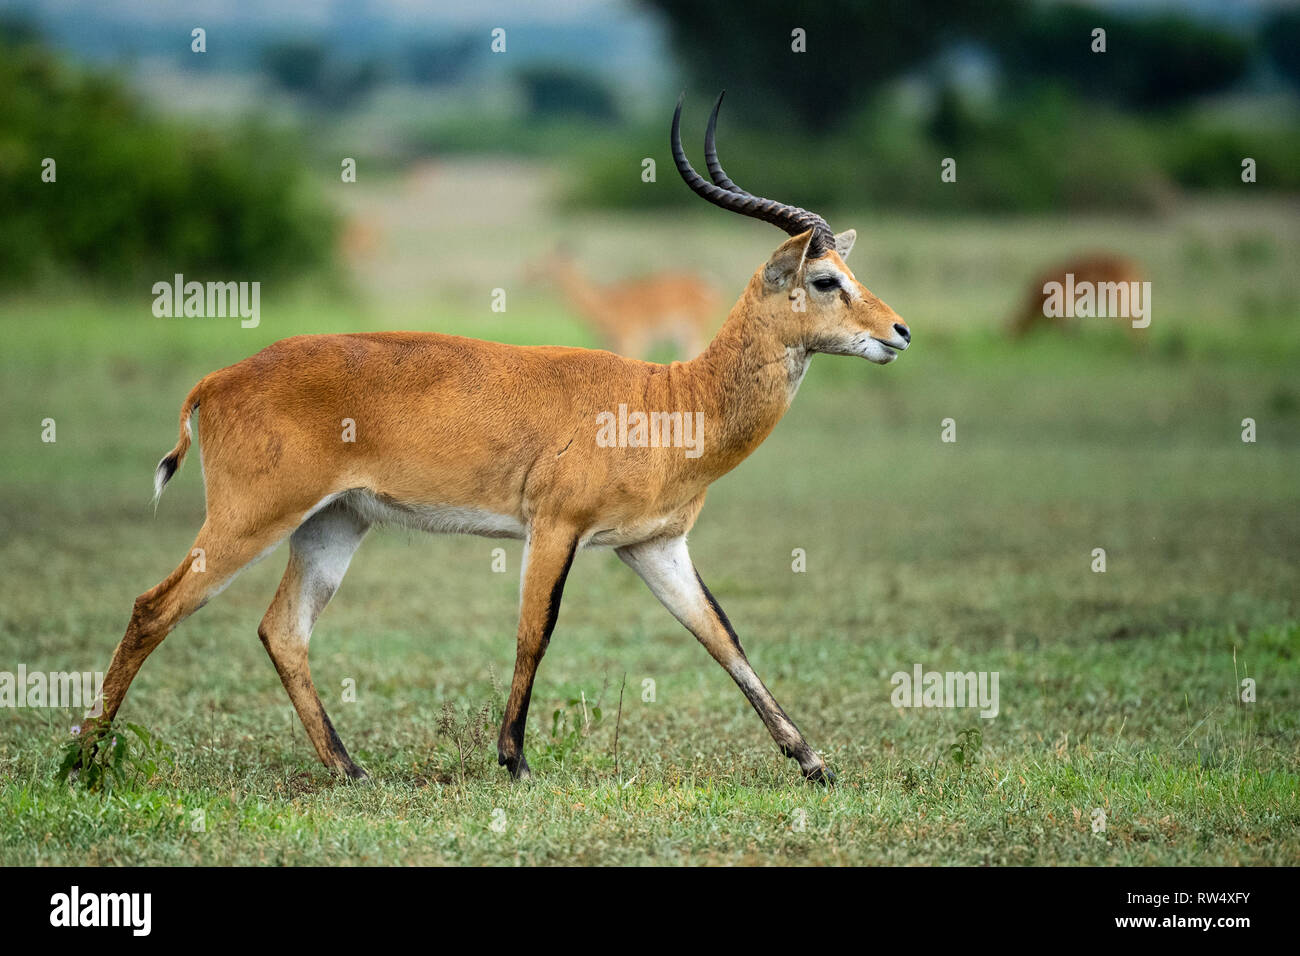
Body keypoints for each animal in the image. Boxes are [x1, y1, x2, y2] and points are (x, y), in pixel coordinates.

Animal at [78, 93, 915, 790]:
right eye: (826, 281)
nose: (899, 331)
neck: (674, 401)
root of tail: (216, 378)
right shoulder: (556, 527)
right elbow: (534, 634)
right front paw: (513, 760)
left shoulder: (656, 545)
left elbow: (724, 638)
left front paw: (813, 762)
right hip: (250, 518)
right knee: (153, 607)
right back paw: (80, 763)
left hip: (333, 523)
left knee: (282, 630)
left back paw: (350, 770)